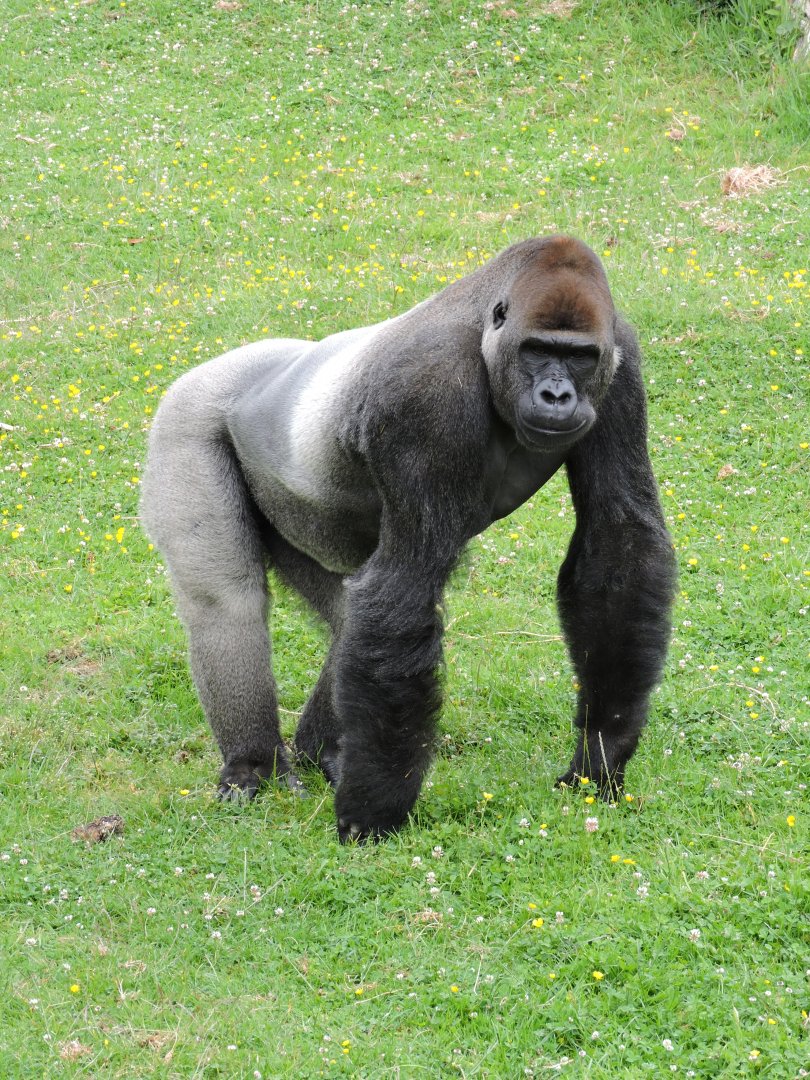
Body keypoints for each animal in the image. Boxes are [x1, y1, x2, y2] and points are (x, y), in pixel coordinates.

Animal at [140, 235, 676, 842]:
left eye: (581, 357)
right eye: (538, 350)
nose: (557, 394)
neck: (487, 339)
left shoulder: (619, 362)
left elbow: (618, 546)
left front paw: (601, 752)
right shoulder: (426, 395)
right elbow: (405, 587)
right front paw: (374, 811)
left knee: (347, 616)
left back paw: (320, 751)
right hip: (187, 415)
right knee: (227, 604)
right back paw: (255, 764)